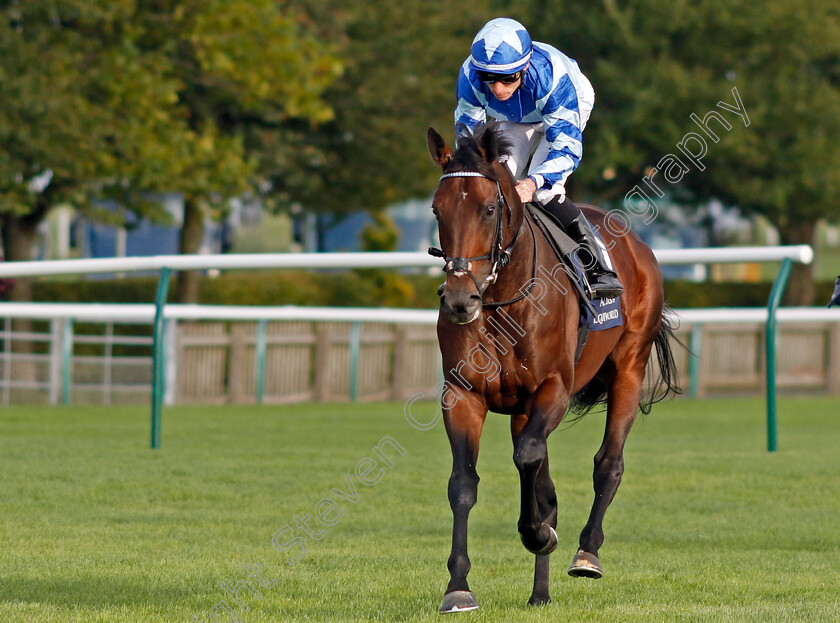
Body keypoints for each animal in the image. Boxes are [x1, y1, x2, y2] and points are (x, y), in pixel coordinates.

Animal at [426, 124, 684, 612]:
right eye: (437, 208)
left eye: (489, 208)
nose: (459, 300)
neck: (501, 300)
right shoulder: (463, 393)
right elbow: (463, 483)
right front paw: (458, 586)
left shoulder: (553, 388)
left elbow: (529, 459)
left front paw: (538, 533)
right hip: (523, 408)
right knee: (542, 475)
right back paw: (540, 589)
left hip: (629, 367)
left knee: (608, 462)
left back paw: (586, 553)